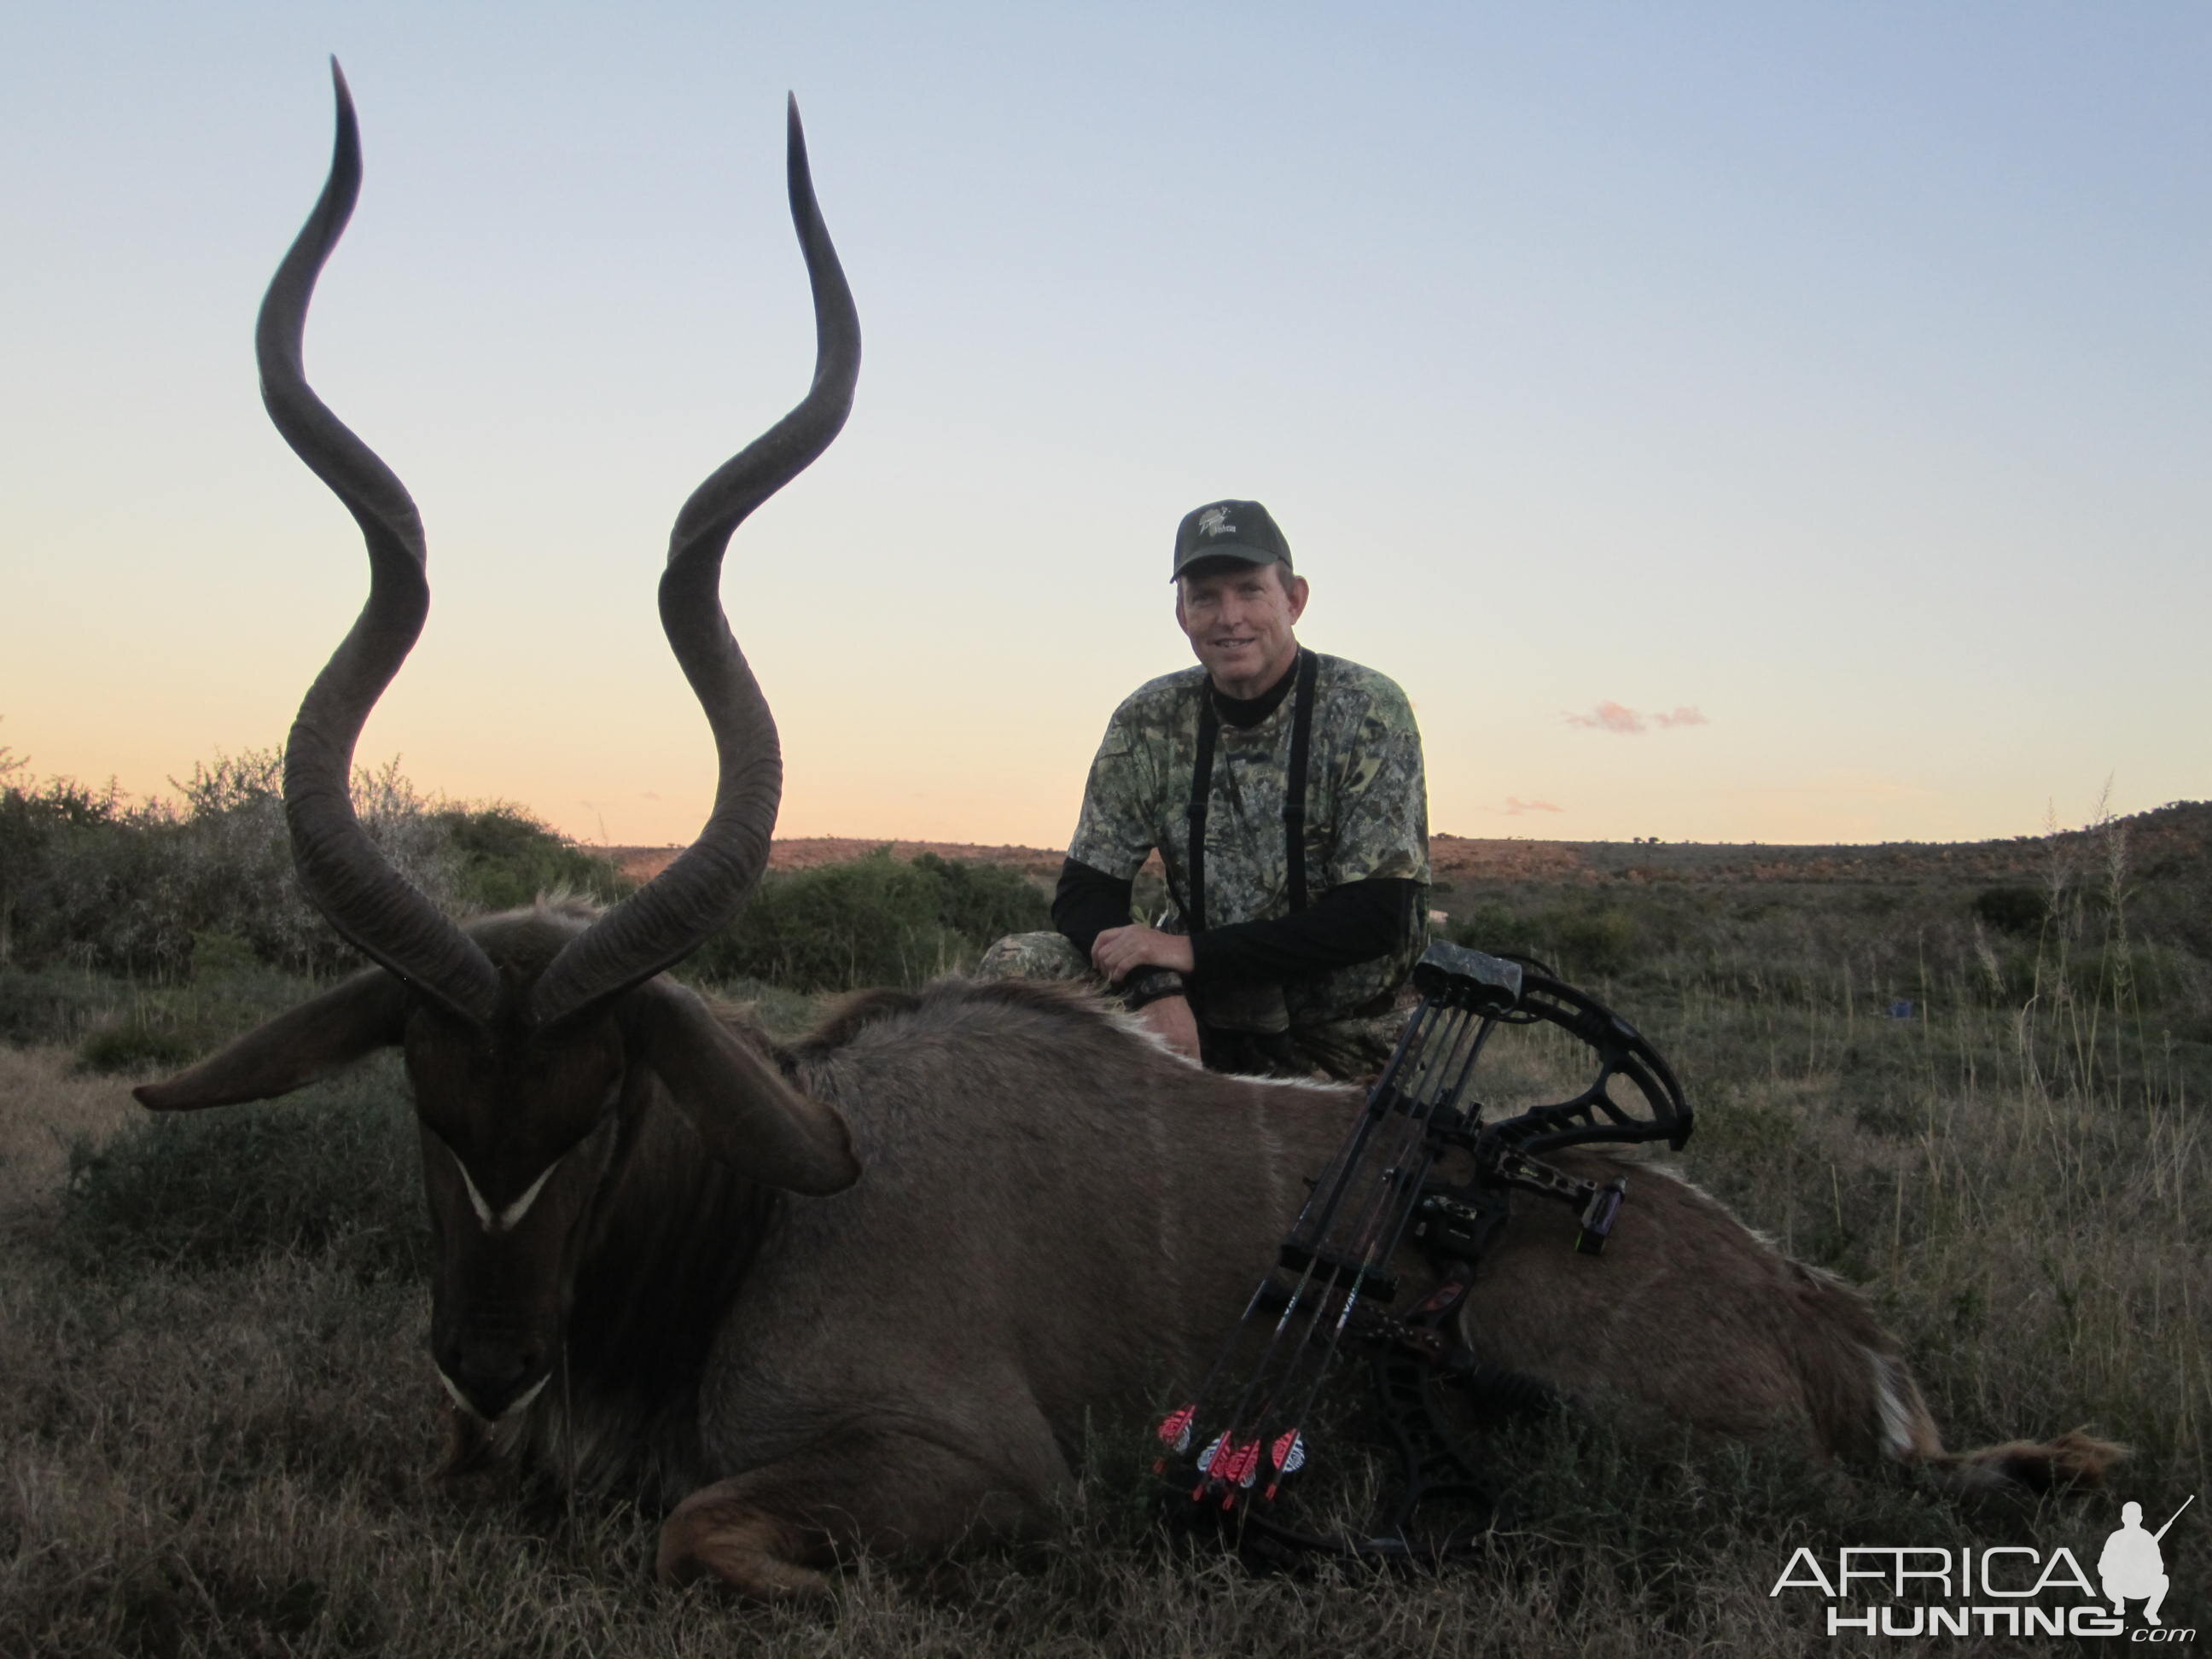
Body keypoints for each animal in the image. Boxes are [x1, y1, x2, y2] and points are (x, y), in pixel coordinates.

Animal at [133, 71, 2105, 1601]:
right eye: (423, 1093)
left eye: (603, 1102)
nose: (484, 1363)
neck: (754, 1210)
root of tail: (1840, 1345)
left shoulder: (962, 1464)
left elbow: (706, 1530)